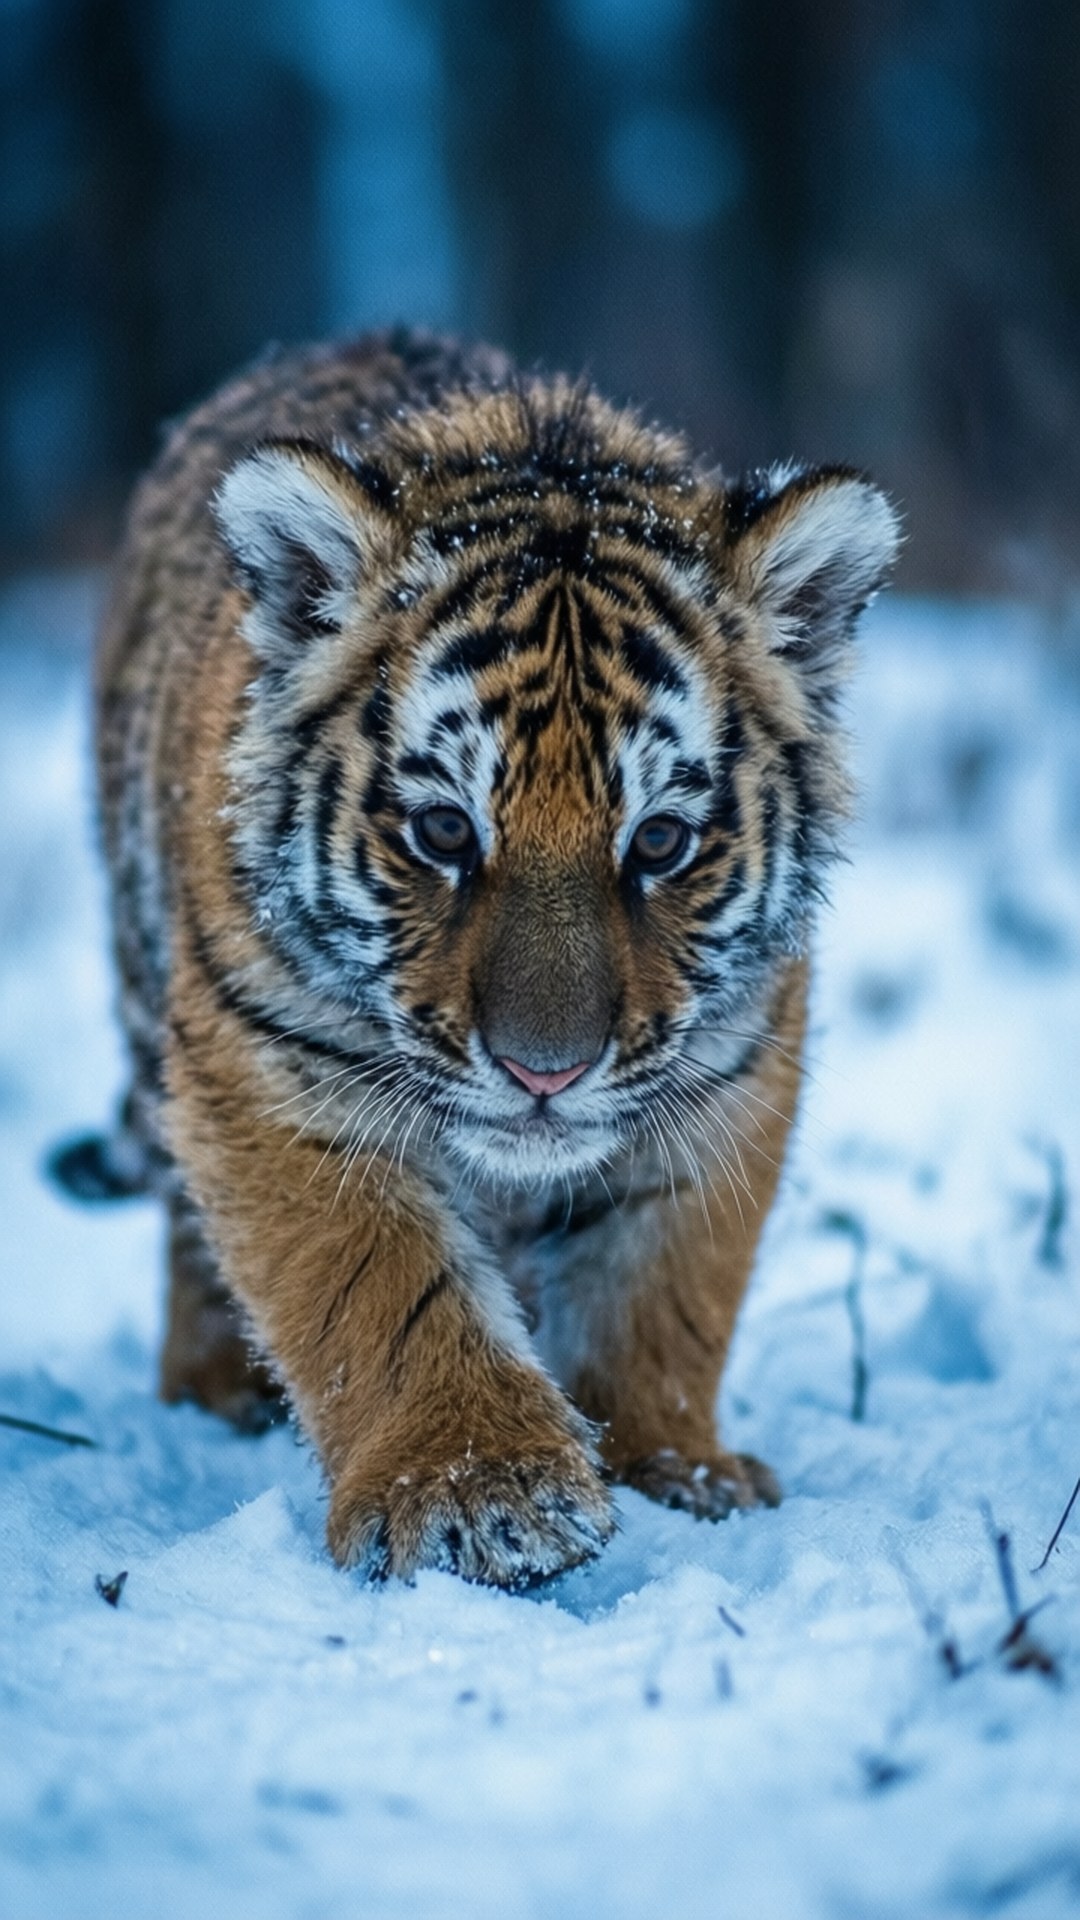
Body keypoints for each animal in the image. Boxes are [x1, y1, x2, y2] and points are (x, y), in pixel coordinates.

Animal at [66, 328, 899, 1587]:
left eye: (660, 842)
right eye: (444, 833)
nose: (544, 1074)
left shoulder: (733, 1068)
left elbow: (660, 1292)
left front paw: (676, 1472)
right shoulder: (273, 1065)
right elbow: (382, 1290)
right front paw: (479, 1492)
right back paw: (216, 1390)